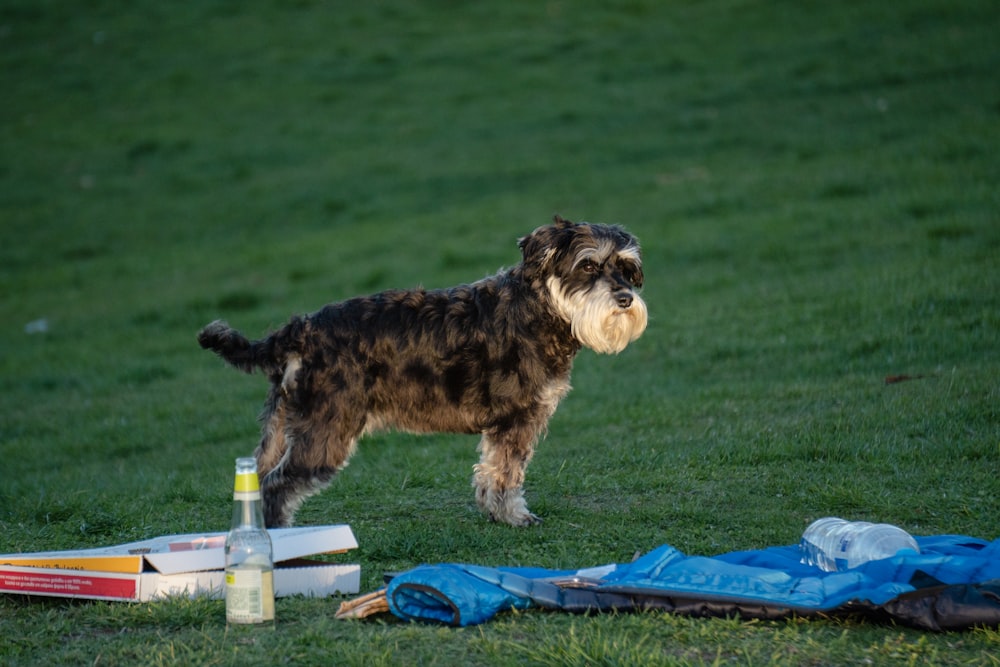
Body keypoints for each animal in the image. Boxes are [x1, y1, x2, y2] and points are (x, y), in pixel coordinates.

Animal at [197, 217, 648, 528]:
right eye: (587, 267)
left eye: (626, 268)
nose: (625, 299)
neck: (542, 307)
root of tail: (300, 330)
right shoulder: (518, 419)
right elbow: (507, 471)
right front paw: (515, 516)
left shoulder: (504, 424)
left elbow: (490, 468)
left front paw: (494, 512)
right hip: (325, 432)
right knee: (277, 487)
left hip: (280, 427)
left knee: (256, 479)